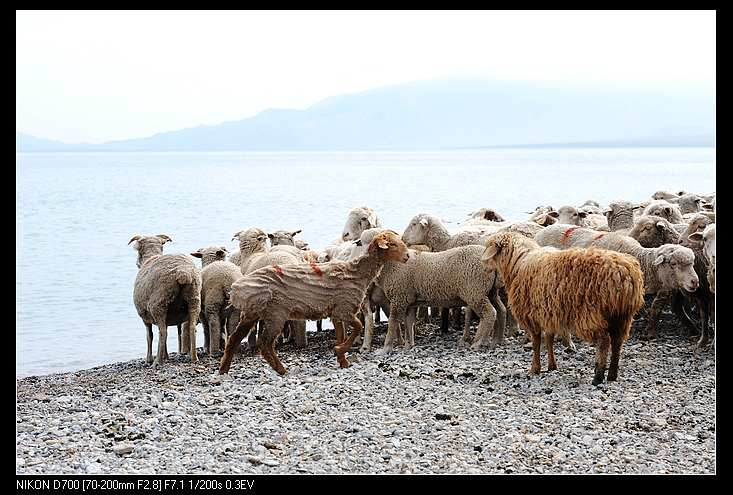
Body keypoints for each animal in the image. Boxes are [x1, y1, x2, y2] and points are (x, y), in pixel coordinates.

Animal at [127, 234, 199, 366]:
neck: (150, 257)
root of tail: (183, 273)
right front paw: (166, 356)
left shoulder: (145, 317)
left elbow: (149, 336)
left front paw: (149, 359)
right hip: (194, 300)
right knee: (191, 329)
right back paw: (194, 357)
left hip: (159, 304)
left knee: (162, 333)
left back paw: (157, 361)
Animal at [220, 230, 408, 376]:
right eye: (391, 244)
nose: (407, 256)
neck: (356, 273)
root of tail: (239, 288)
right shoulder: (344, 308)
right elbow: (358, 327)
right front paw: (339, 351)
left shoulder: (335, 313)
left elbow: (342, 334)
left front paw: (343, 361)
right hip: (276, 314)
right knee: (264, 343)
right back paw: (281, 369)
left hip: (252, 313)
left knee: (234, 340)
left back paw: (223, 370)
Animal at [480, 232, 640, 388]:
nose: (482, 263)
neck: (518, 262)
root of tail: (623, 273)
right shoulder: (549, 312)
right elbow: (549, 339)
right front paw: (552, 365)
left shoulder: (531, 314)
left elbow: (536, 342)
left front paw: (534, 369)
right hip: (622, 315)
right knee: (617, 342)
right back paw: (612, 375)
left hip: (592, 313)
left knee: (604, 341)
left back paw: (598, 376)